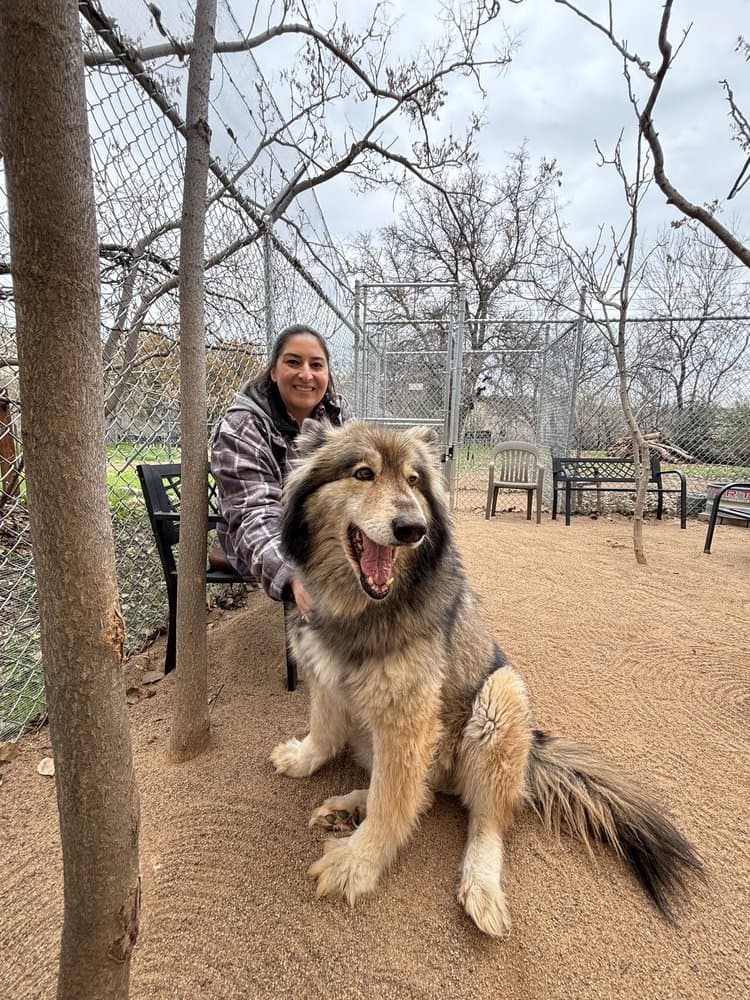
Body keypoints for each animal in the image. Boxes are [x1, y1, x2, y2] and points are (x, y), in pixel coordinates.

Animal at [270, 421, 703, 936]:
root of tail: (534, 751)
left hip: (501, 697)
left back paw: (480, 885)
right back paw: (347, 807)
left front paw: (358, 862)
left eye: (414, 481)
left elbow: (392, 804)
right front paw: (304, 758)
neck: (359, 608)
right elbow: (326, 732)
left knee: (478, 817)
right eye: (363, 473)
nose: (412, 529)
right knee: (420, 792)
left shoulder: (409, 721)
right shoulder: (324, 674)